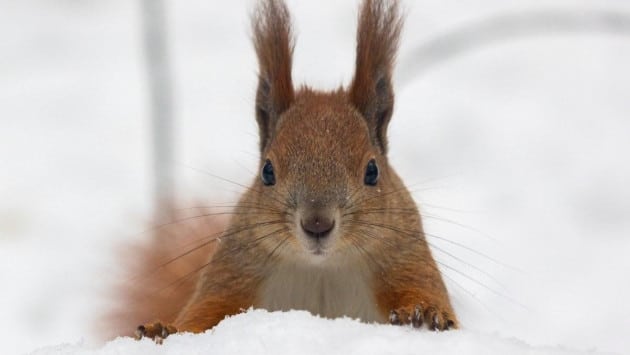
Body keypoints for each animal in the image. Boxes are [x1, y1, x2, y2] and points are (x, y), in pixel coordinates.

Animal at [112, 0, 460, 342]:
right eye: (267, 172)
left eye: (372, 171)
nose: (317, 224)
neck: (322, 268)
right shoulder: (236, 272)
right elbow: (203, 315)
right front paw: (164, 329)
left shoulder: (405, 258)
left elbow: (426, 295)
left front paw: (425, 313)